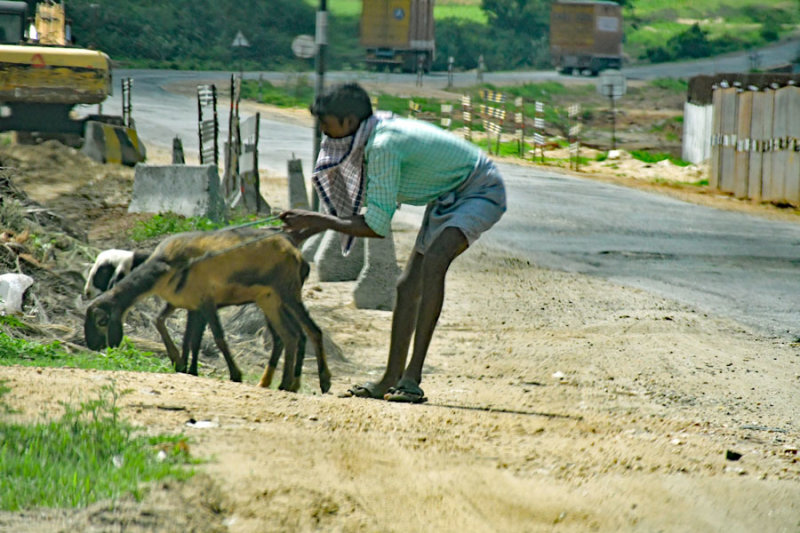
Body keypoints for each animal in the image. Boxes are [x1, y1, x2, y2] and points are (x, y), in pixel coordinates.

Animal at [83, 227, 330, 392]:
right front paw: (182, 365)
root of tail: (296, 253)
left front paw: (235, 374)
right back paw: (285, 383)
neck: (166, 266)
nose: (94, 347)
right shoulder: (188, 304)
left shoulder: (206, 302)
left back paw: (322, 382)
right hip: (269, 300)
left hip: (287, 293)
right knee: (290, 335)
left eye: (101, 322)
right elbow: (176, 331)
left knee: (311, 331)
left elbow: (218, 338)